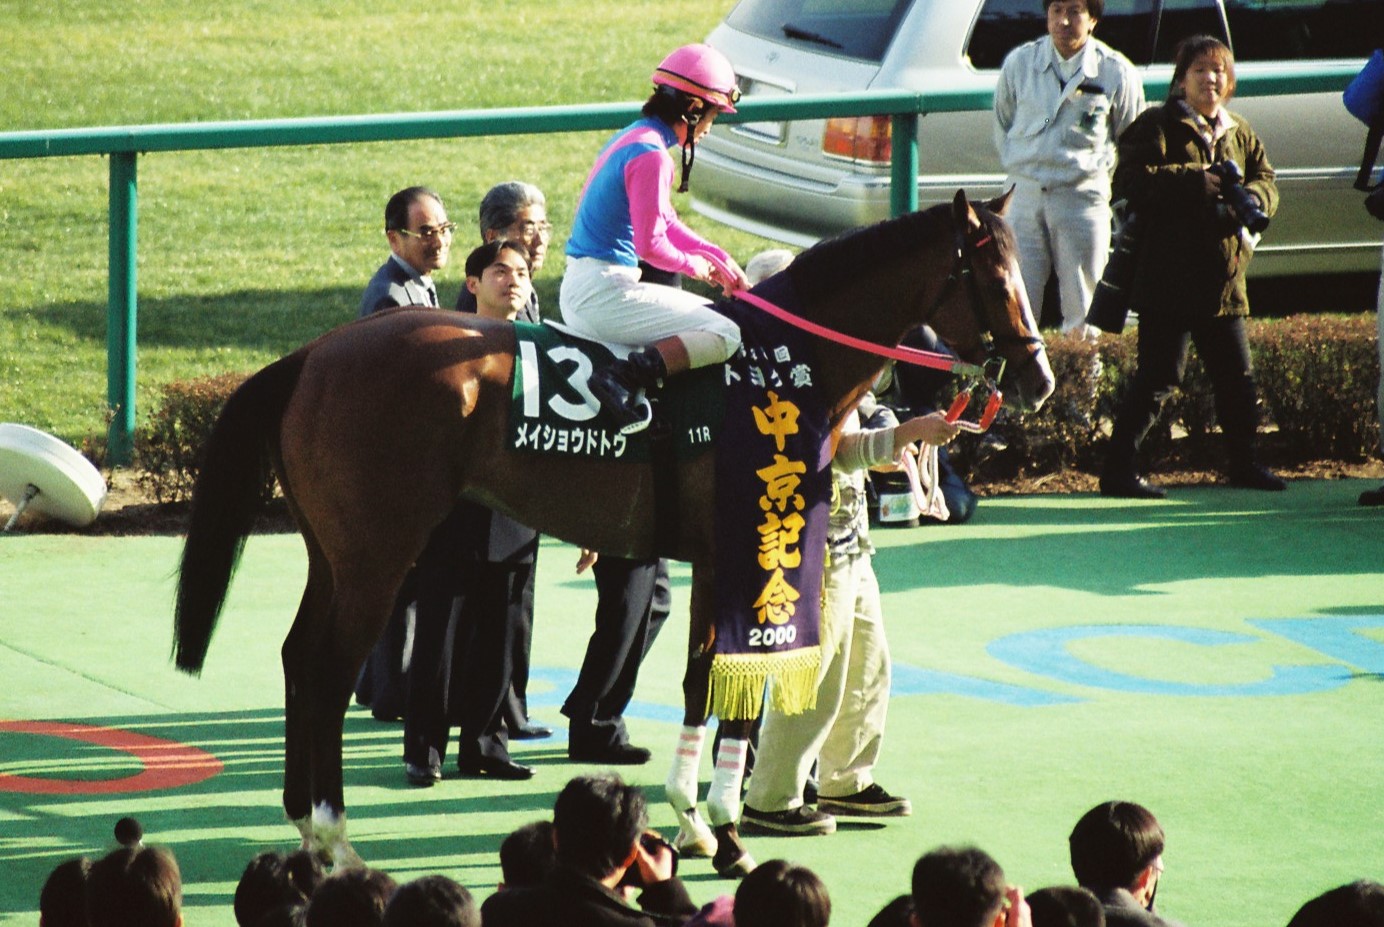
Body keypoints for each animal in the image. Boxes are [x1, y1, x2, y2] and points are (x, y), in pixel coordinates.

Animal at [178, 188, 1051, 874]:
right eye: (995, 277)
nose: (1039, 376)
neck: (777, 365)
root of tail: (313, 355)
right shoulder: (748, 550)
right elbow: (733, 691)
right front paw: (727, 830)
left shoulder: (715, 558)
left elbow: (704, 682)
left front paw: (698, 823)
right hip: (378, 554)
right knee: (328, 672)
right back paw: (335, 835)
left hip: (332, 551)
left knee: (298, 659)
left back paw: (307, 827)